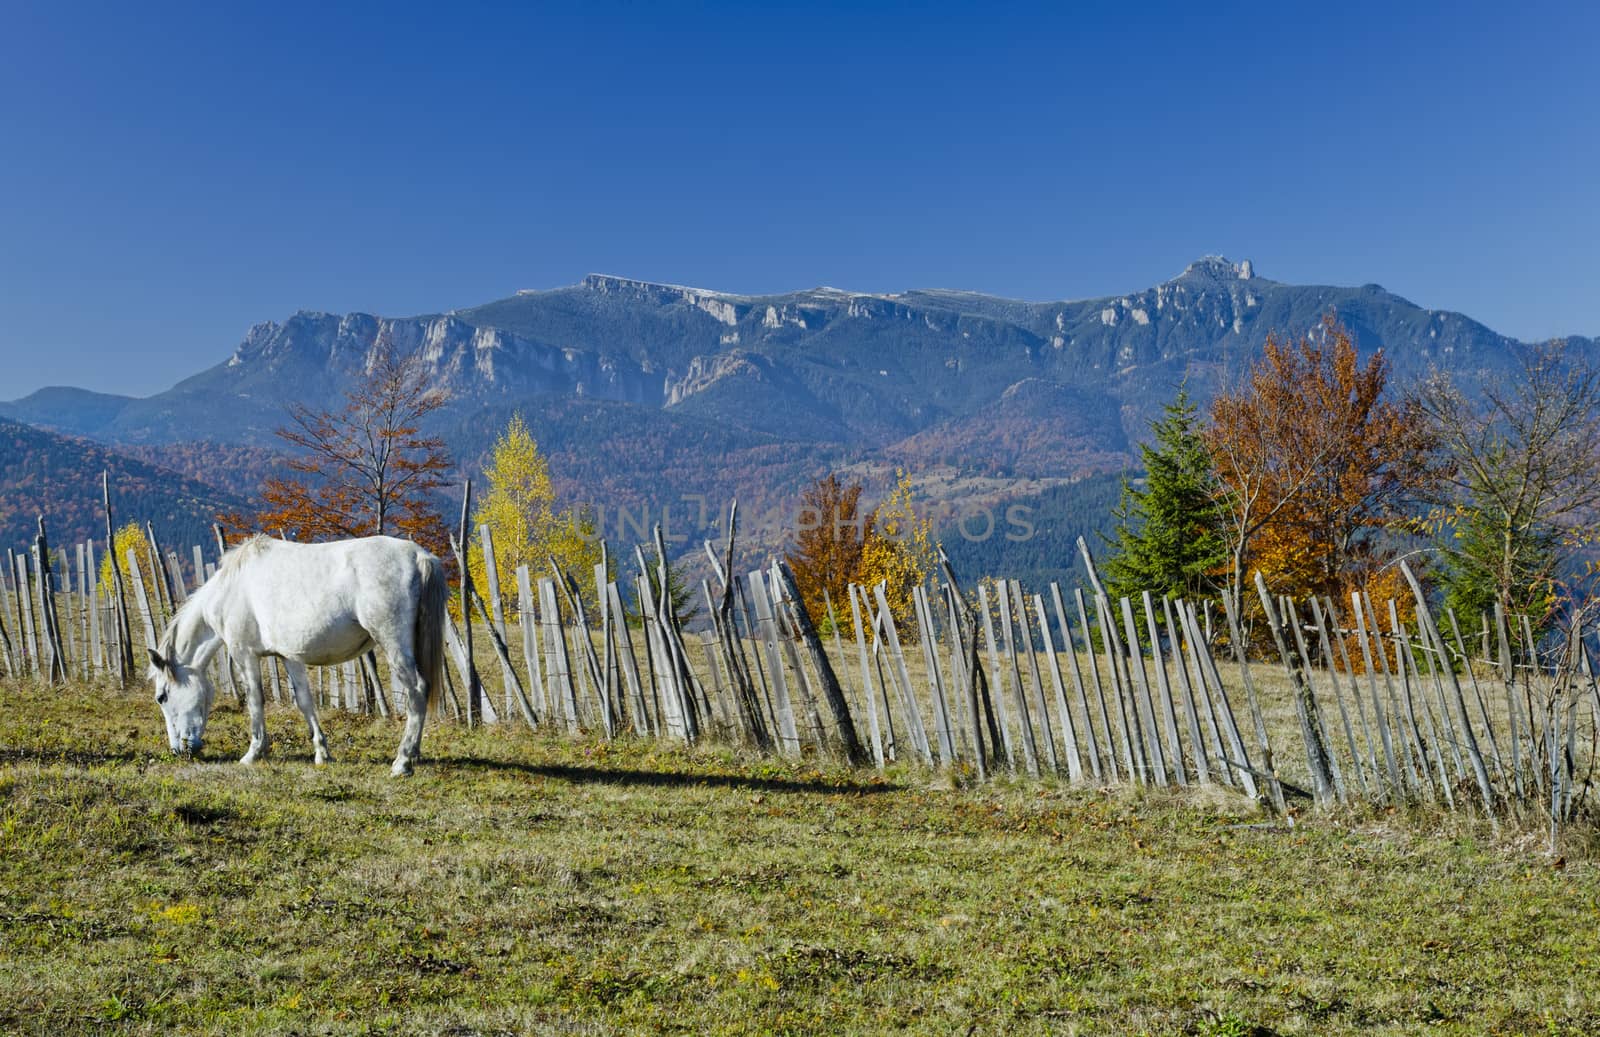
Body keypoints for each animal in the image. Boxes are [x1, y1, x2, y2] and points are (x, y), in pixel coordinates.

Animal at [147, 537, 448, 774]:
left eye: (162, 697)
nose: (178, 750)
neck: (231, 588)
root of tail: (419, 556)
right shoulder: (289, 656)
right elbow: (305, 702)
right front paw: (322, 753)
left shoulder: (245, 654)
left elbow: (255, 701)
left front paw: (253, 753)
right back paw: (413, 753)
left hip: (393, 643)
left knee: (417, 690)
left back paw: (403, 761)